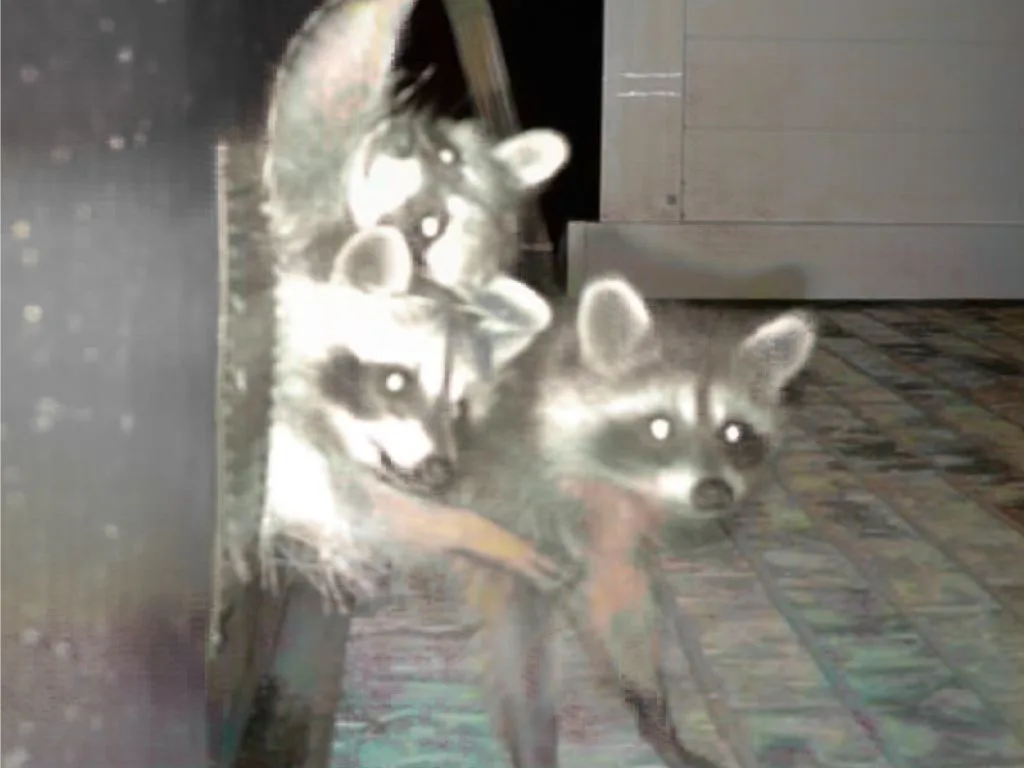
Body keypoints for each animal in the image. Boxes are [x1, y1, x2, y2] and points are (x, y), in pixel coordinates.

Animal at [443, 276, 818, 768]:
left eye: (735, 432)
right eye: (660, 426)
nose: (714, 491)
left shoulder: (613, 523)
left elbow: (619, 594)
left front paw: (650, 705)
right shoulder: (509, 492)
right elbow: (517, 626)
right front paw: (533, 733)